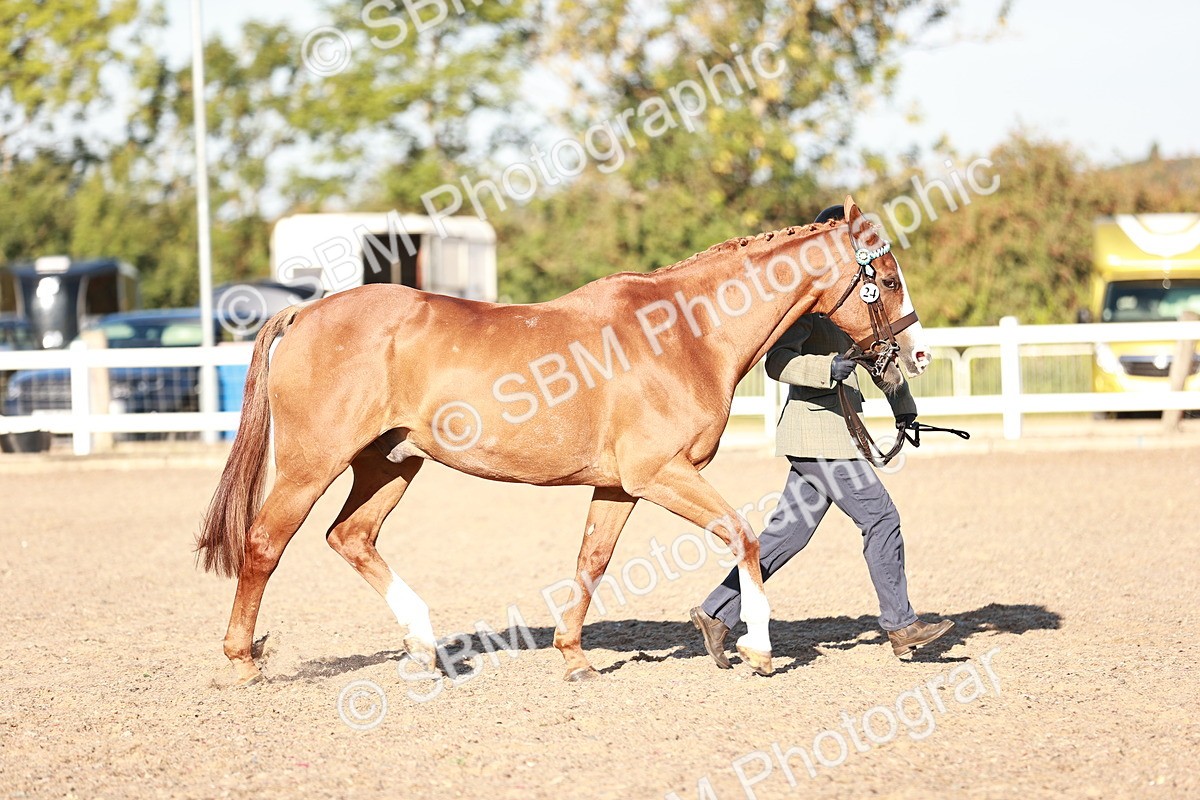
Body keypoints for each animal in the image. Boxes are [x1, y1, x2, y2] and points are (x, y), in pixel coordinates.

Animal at [196, 196, 931, 684]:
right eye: (889, 279)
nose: (916, 354)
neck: (683, 333)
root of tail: (304, 313)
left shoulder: (618, 486)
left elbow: (592, 561)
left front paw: (574, 656)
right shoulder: (661, 473)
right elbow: (743, 537)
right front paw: (757, 648)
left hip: (391, 463)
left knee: (350, 537)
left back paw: (426, 648)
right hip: (311, 463)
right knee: (264, 544)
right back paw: (243, 660)